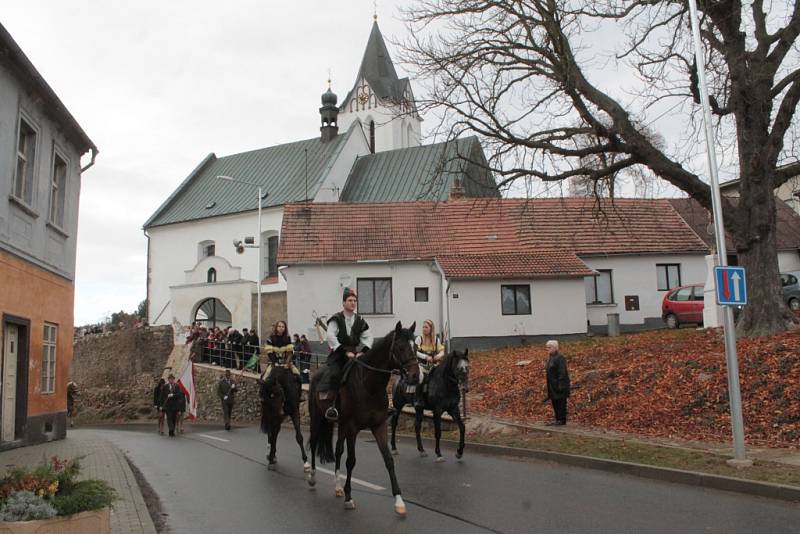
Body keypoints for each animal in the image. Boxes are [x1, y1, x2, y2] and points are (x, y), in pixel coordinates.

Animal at [304, 322, 418, 516]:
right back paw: (312, 478)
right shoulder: (353, 428)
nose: (415, 376)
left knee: (338, 450)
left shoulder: (379, 426)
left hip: (340, 425)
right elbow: (351, 461)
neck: (369, 384)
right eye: (401, 347)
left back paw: (337, 486)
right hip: (317, 419)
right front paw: (349, 497)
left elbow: (388, 460)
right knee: (313, 443)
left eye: (416, 346)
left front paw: (399, 501)